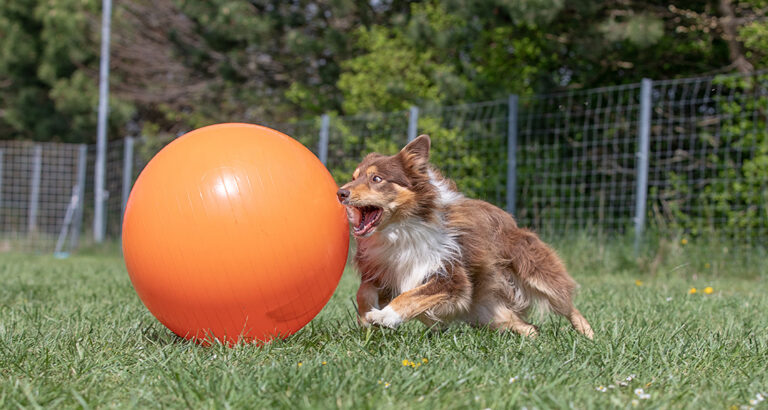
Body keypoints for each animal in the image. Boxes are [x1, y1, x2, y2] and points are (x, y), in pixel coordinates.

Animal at [336, 135, 592, 340]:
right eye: (354, 177)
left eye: (376, 179)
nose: (340, 192)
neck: (401, 229)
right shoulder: (384, 271)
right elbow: (363, 292)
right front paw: (366, 319)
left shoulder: (452, 277)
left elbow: (411, 295)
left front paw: (385, 316)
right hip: (489, 313)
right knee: (528, 327)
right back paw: (535, 340)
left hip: (533, 269)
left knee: (565, 302)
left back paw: (588, 334)